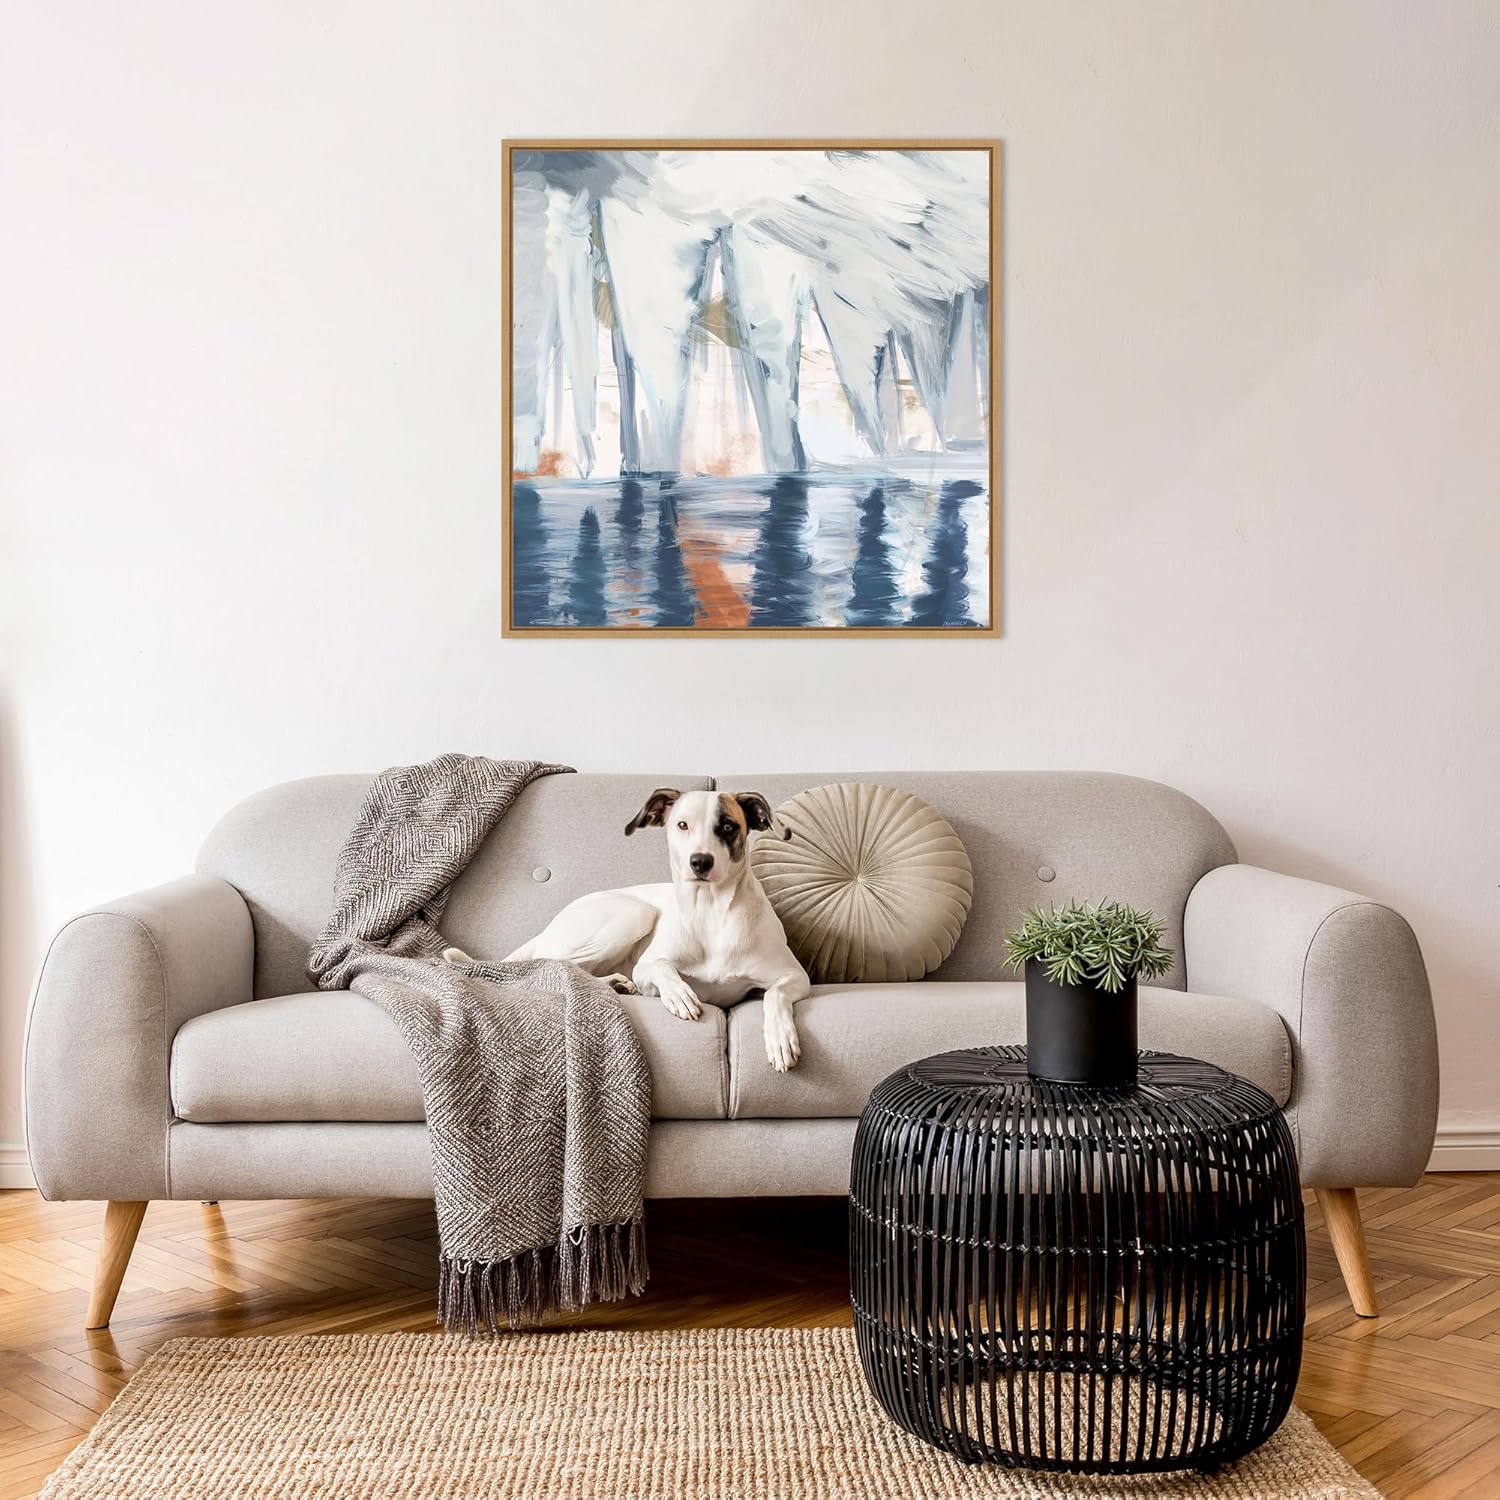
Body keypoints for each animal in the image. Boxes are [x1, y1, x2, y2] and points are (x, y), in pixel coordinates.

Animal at [442, 789, 811, 1071]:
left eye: (728, 826)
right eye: (682, 825)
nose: (700, 861)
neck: (711, 911)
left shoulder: (794, 976)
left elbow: (775, 995)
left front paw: (780, 1038)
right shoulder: (647, 968)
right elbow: (661, 968)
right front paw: (679, 995)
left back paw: (615, 984)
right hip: (634, 913)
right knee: (554, 965)